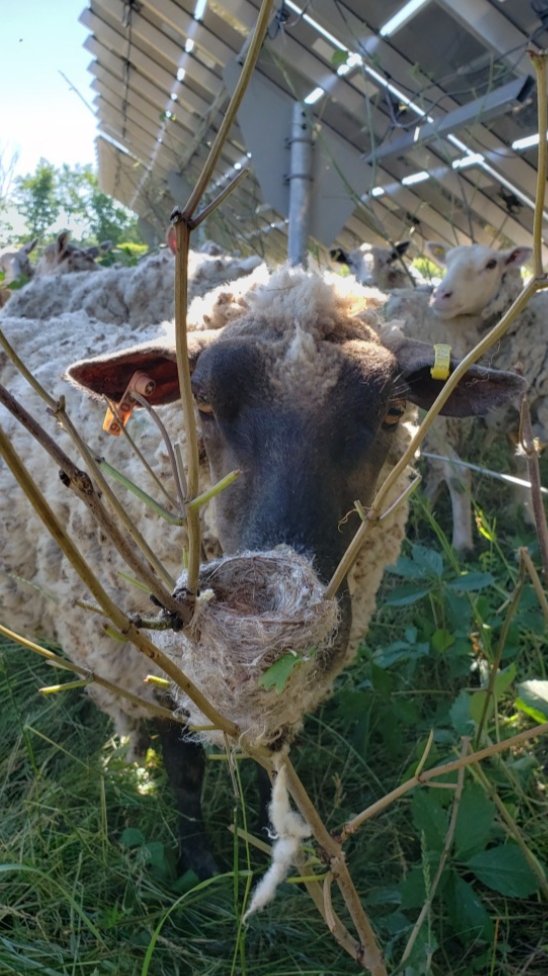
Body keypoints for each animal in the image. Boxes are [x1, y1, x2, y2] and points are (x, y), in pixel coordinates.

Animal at [0, 265, 523, 876]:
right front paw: (200, 860)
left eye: (393, 413)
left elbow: (268, 765)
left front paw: (269, 835)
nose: (278, 635)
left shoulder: (272, 694)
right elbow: (185, 768)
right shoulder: (154, 660)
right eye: (201, 401)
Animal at [383, 241, 537, 551]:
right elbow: (458, 473)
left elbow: (518, 463)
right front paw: (463, 541)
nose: (440, 295)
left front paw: (524, 517)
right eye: (448, 261)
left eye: (492, 264)